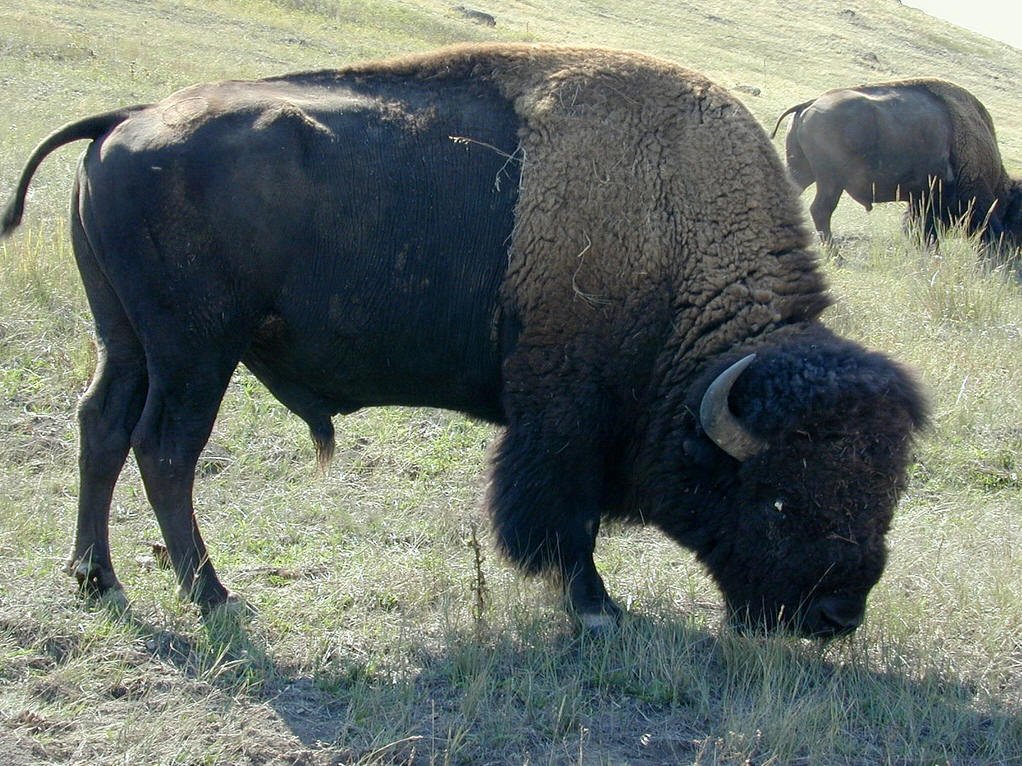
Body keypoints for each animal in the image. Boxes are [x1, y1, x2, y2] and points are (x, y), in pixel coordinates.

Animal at [0, 44, 927, 637]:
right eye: (778, 499)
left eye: (886, 492)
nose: (836, 618)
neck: (674, 240)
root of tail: (128, 120)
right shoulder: (563, 421)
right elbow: (564, 520)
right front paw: (597, 607)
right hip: (196, 351)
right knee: (165, 449)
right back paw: (215, 597)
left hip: (125, 339)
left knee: (101, 427)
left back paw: (97, 580)